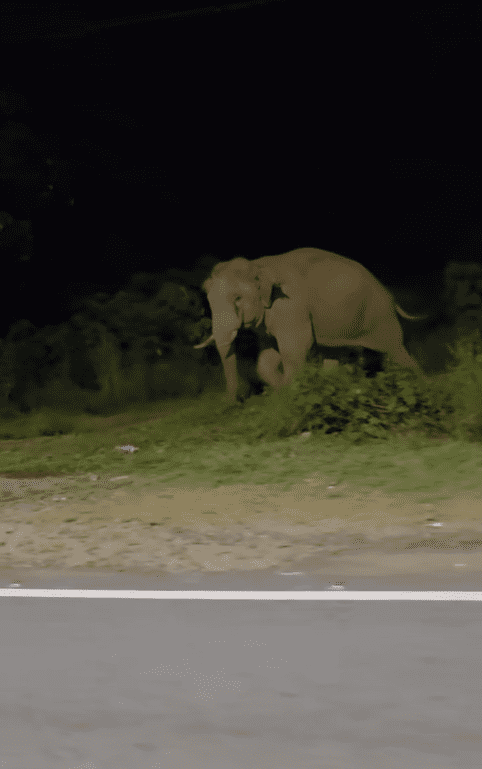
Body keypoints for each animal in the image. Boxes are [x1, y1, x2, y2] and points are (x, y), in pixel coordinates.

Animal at [195, 247, 428, 402]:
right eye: (208, 298)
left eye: (237, 299)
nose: (232, 402)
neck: (258, 265)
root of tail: (389, 293)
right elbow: (266, 359)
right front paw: (282, 393)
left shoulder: (290, 305)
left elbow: (296, 346)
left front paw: (290, 395)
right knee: (333, 354)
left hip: (379, 316)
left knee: (397, 350)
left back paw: (422, 388)